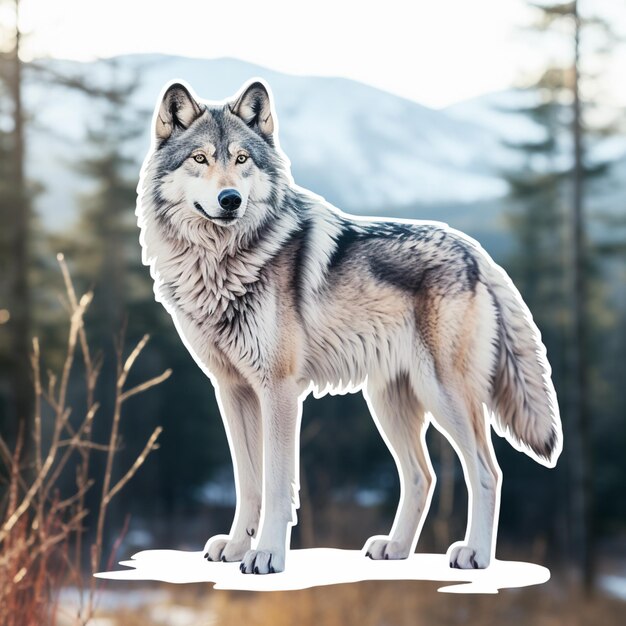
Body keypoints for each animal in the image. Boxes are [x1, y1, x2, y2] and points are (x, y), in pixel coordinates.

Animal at [136, 77, 560, 572]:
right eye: (200, 159)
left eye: (241, 160)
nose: (230, 200)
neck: (220, 262)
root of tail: (477, 254)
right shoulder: (231, 389)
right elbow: (248, 482)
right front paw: (238, 547)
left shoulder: (279, 390)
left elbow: (276, 485)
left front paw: (267, 555)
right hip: (388, 403)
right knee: (423, 476)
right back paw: (395, 548)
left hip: (444, 395)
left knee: (487, 470)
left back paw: (474, 554)